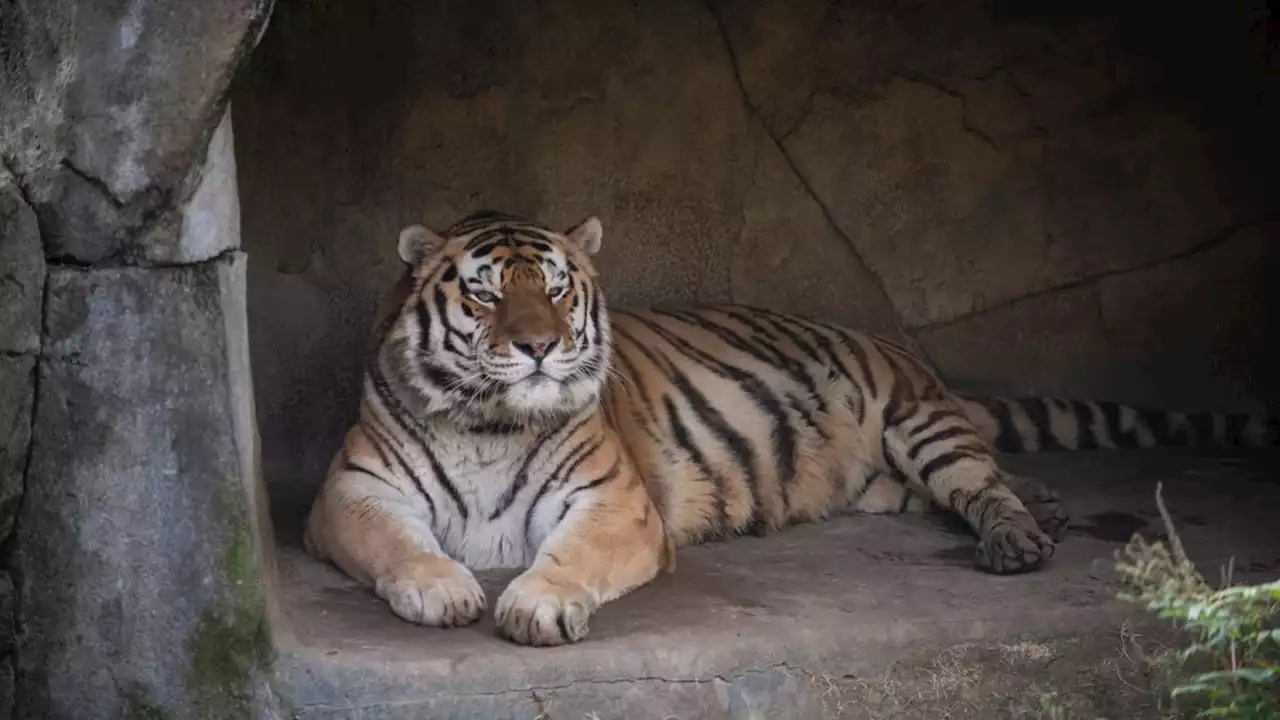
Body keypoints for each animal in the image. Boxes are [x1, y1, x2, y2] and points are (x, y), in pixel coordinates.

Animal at [302, 207, 1280, 645]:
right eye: (482, 293)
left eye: (555, 288)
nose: (539, 347)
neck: (490, 422)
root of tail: (896, 346)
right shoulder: (352, 492)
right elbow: (400, 546)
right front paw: (443, 589)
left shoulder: (615, 502)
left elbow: (569, 558)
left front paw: (535, 603)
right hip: (890, 481)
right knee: (981, 483)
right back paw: (1048, 510)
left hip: (919, 424)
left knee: (981, 484)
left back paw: (1019, 539)